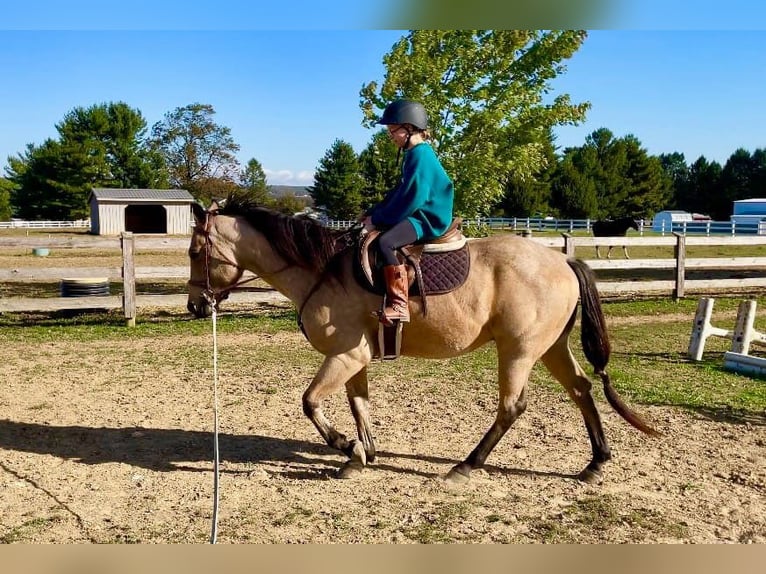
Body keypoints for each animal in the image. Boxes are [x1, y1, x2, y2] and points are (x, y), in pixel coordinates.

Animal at [186, 198, 660, 486]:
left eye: (194, 252)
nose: (195, 305)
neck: (324, 271)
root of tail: (562, 259)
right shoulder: (356, 358)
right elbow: (358, 404)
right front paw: (361, 453)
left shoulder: (345, 354)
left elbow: (311, 402)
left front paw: (346, 446)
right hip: (550, 348)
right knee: (581, 389)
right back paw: (596, 463)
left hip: (519, 351)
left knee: (512, 407)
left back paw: (465, 466)